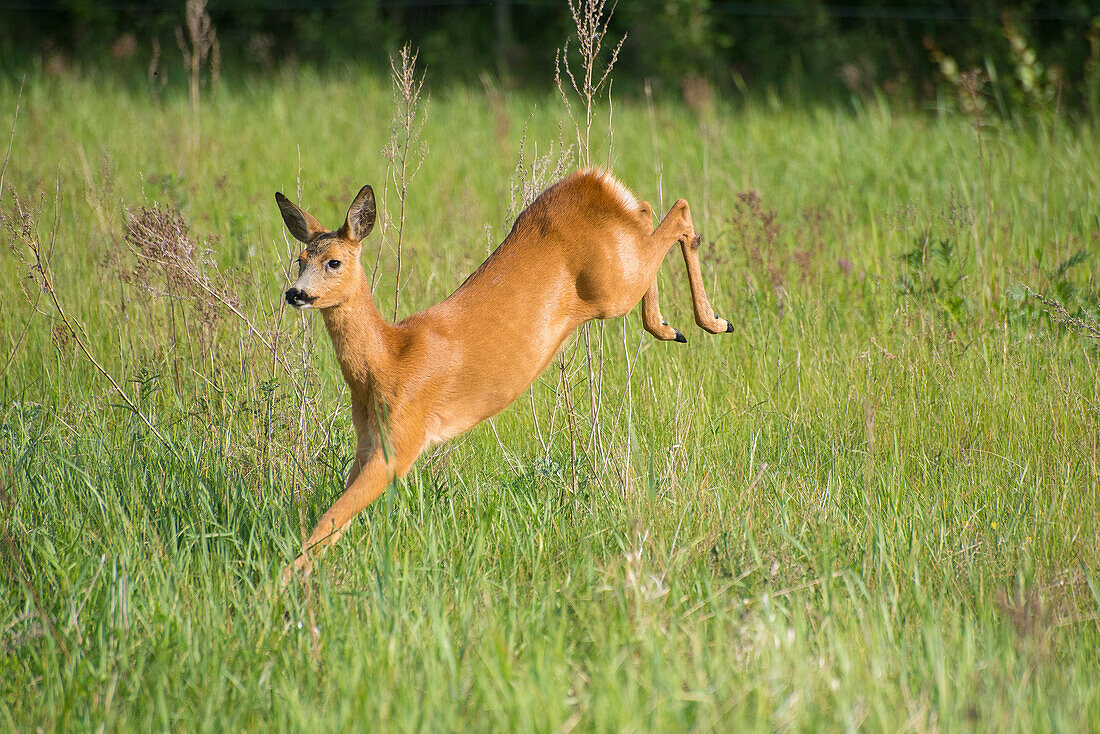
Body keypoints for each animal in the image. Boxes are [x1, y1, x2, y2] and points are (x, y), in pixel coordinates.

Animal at [277, 169, 730, 581]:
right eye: (300, 260)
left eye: (334, 261)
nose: (295, 293)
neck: (387, 361)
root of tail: (595, 179)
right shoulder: (368, 442)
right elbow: (333, 523)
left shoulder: (402, 442)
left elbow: (329, 520)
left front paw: (279, 585)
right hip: (617, 273)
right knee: (649, 211)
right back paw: (672, 326)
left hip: (611, 289)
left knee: (677, 213)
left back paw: (712, 322)